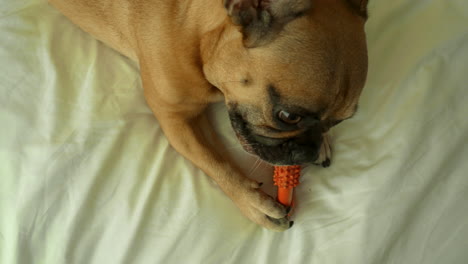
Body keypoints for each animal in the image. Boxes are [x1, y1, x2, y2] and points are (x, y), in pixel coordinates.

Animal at [47, 0, 370, 231]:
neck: (203, 33)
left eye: (341, 121)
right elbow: (214, 161)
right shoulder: (176, 118)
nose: (307, 151)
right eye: (289, 116)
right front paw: (253, 203)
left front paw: (324, 142)